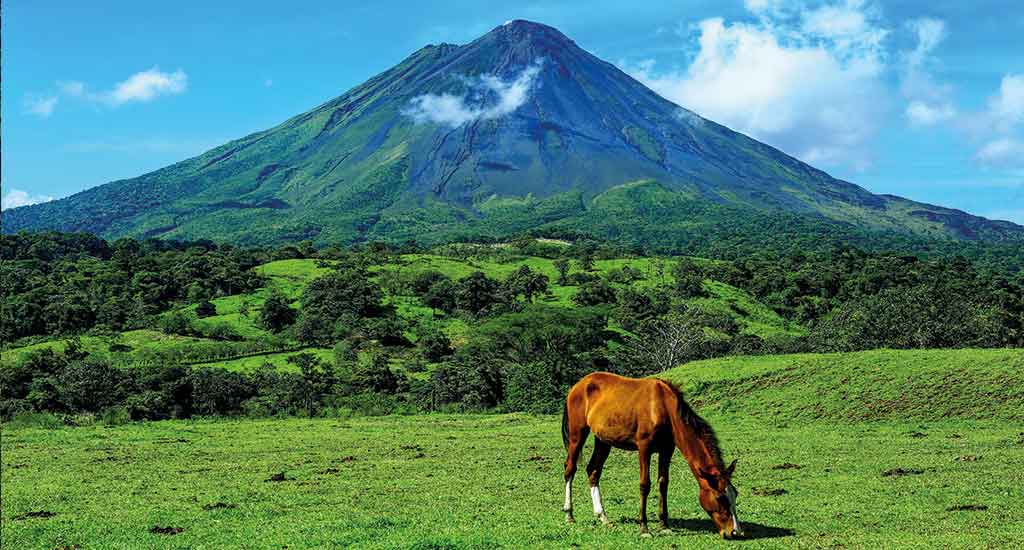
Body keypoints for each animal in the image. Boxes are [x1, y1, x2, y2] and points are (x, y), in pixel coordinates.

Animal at [561, 372, 743, 539]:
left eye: (735, 494)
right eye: (720, 498)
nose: (735, 532)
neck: (663, 408)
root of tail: (578, 386)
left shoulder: (666, 450)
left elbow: (663, 484)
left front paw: (664, 525)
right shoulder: (644, 449)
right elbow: (645, 485)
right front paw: (644, 528)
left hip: (603, 440)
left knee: (593, 471)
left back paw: (603, 517)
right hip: (577, 434)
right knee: (570, 469)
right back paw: (569, 515)